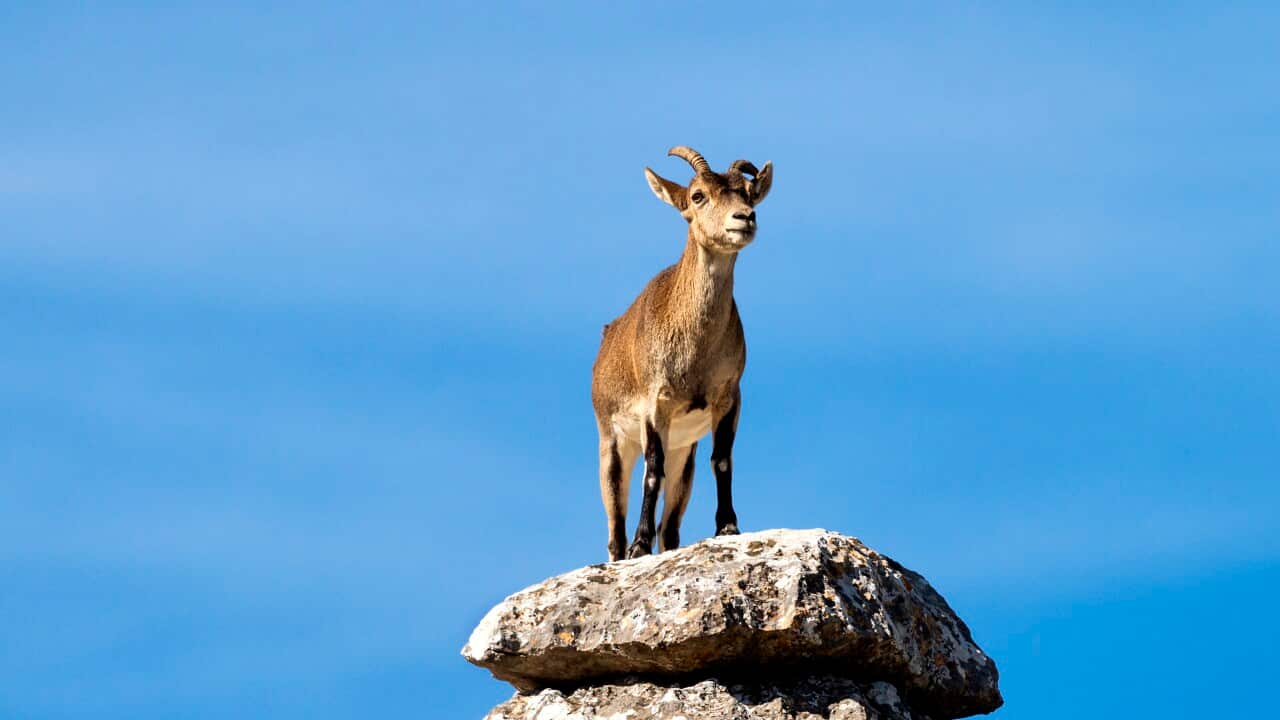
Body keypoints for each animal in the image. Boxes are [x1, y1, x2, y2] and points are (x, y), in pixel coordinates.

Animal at [591, 146, 773, 561]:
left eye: (748, 192)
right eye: (698, 195)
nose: (745, 218)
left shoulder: (728, 396)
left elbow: (722, 460)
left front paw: (728, 527)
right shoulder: (655, 403)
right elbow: (652, 471)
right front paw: (639, 546)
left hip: (683, 452)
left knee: (671, 528)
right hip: (611, 443)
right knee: (614, 528)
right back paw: (624, 550)